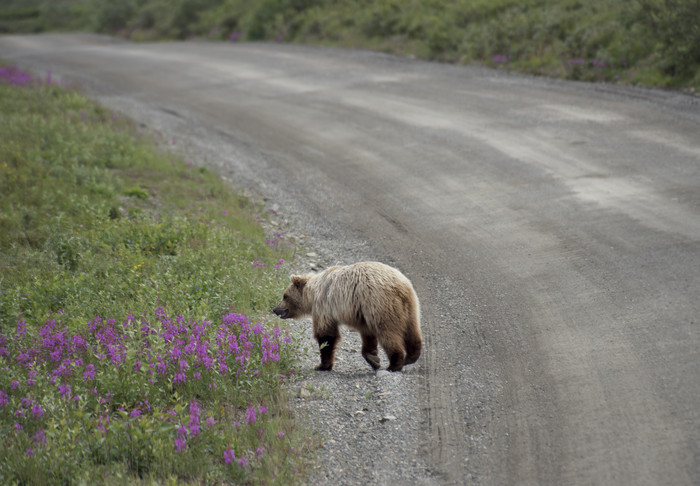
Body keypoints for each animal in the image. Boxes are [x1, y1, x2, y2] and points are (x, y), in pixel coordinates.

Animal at [270, 262, 422, 372]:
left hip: (380, 304)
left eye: (285, 296)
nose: (275, 309)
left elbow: (326, 335)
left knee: (388, 333)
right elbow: (367, 334)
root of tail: (400, 286)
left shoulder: (324, 306)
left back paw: (394, 364)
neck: (311, 294)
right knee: (412, 330)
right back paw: (412, 356)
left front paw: (322, 365)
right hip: (410, 307)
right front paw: (373, 358)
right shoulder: (361, 312)